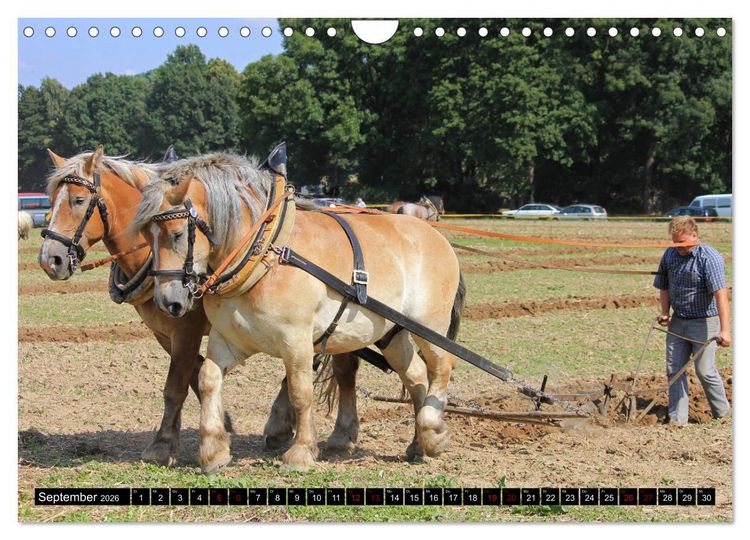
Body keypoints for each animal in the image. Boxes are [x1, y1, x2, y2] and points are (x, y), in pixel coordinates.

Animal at [132, 148, 465, 473]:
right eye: (146, 236)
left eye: (177, 234)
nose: (167, 301)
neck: (266, 255)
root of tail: (436, 235)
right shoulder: (228, 339)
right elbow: (208, 378)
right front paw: (214, 450)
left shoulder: (296, 341)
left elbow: (300, 393)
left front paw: (301, 452)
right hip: (392, 334)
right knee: (417, 376)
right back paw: (419, 444)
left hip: (429, 326)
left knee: (442, 366)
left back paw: (433, 433)